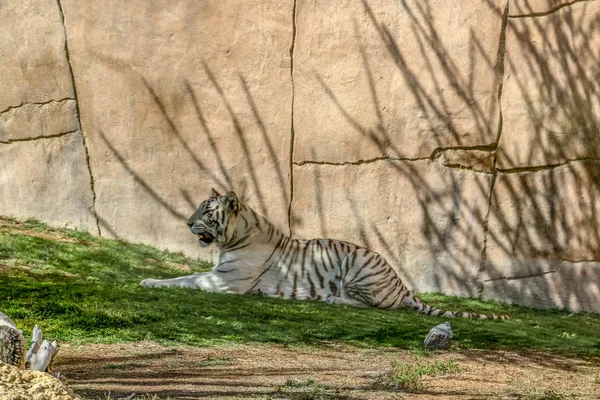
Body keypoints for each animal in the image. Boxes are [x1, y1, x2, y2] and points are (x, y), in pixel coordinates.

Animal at [141, 189, 506, 320]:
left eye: (206, 211)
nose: (186, 222)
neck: (235, 236)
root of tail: (403, 285)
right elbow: (185, 275)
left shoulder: (224, 281)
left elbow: (185, 279)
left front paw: (148, 281)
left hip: (358, 265)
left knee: (371, 306)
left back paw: (330, 299)